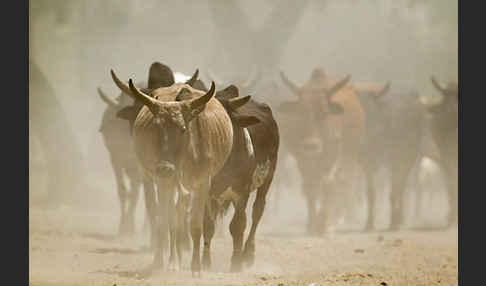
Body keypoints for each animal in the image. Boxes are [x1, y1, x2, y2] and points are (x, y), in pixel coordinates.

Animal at [278, 67, 364, 235]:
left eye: (324, 112)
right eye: (301, 111)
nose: (312, 145)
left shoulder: (333, 156)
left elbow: (328, 184)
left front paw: (324, 225)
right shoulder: (302, 159)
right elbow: (310, 187)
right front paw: (312, 225)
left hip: (349, 155)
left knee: (341, 182)